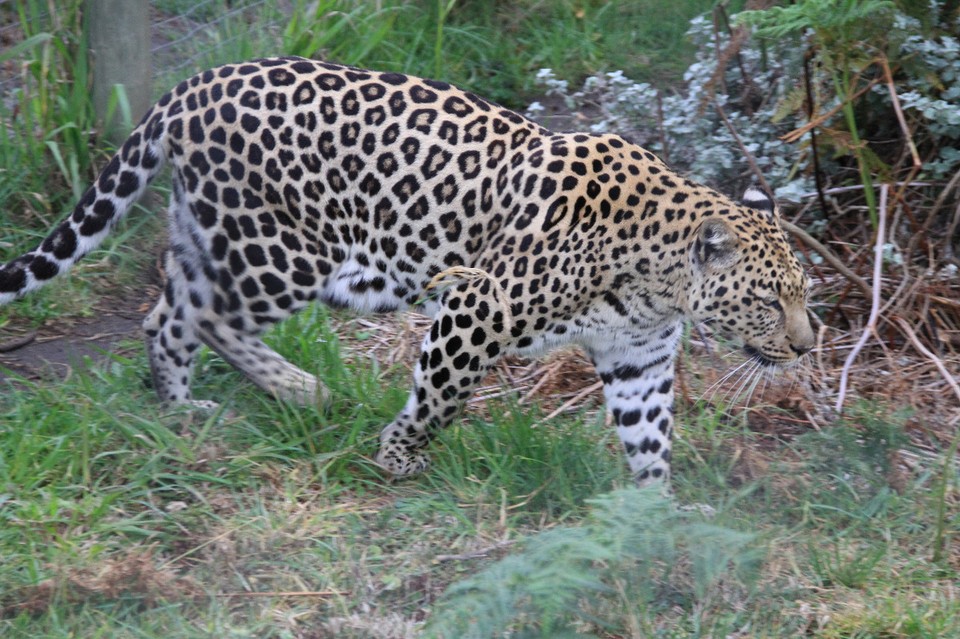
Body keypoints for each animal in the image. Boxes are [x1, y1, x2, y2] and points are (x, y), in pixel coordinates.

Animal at [0, 57, 812, 484]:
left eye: (803, 296)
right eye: (768, 301)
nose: (807, 347)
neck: (658, 283)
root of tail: (196, 83)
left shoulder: (638, 358)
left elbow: (650, 442)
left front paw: (655, 518)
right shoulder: (477, 308)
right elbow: (441, 397)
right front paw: (397, 455)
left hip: (215, 233)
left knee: (166, 313)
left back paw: (181, 410)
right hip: (287, 251)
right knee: (209, 315)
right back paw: (300, 388)